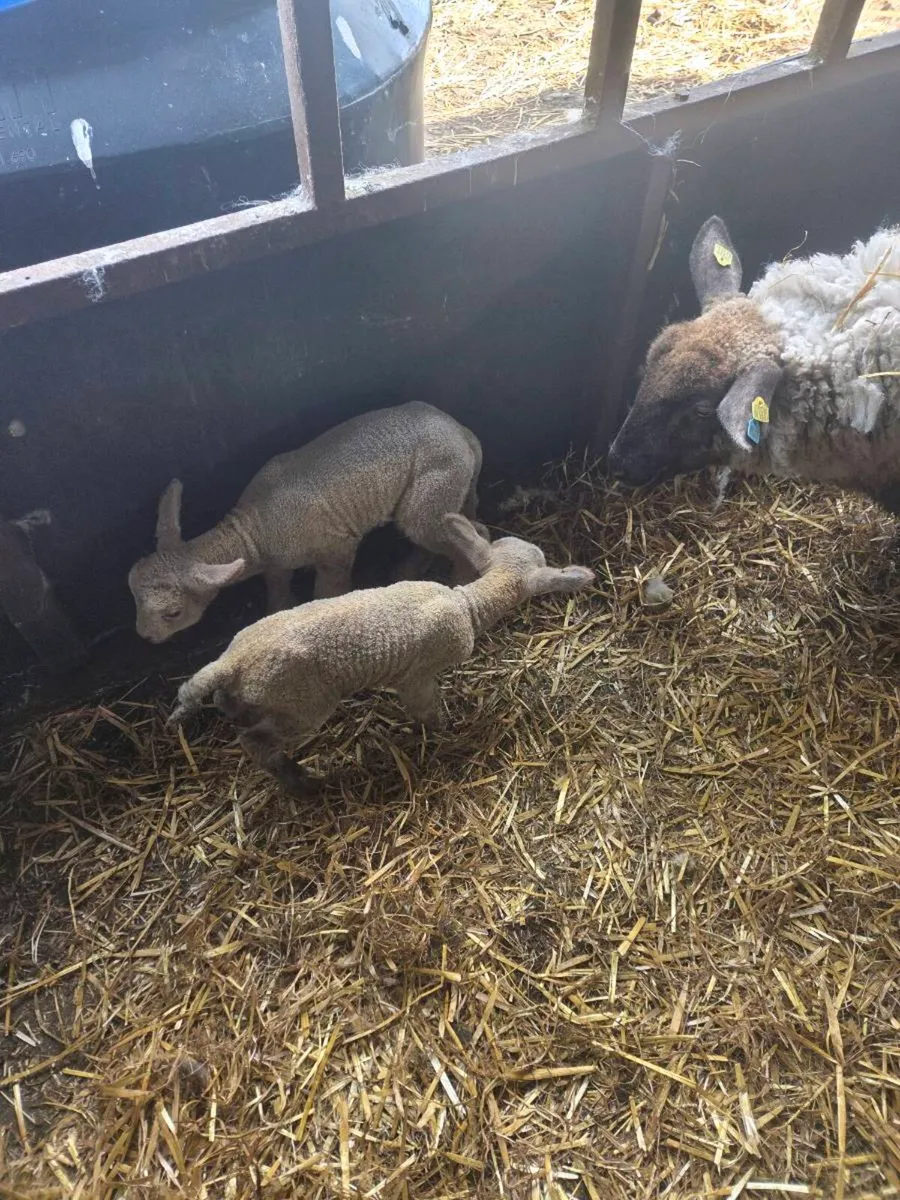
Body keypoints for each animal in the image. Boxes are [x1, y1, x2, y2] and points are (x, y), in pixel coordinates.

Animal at [129, 401, 487, 644]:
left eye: (173, 613)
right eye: (131, 589)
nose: (144, 636)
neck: (254, 529)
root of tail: (463, 432)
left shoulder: (336, 548)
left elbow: (328, 592)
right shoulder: (275, 563)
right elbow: (277, 595)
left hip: (435, 481)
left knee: (446, 531)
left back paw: (461, 581)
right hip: (455, 484)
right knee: (462, 524)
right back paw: (408, 571)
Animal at [167, 515, 594, 795]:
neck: (468, 604)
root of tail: (231, 663)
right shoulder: (417, 676)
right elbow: (426, 710)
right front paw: (444, 732)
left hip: (248, 694)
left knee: (236, 716)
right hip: (299, 705)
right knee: (256, 743)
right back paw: (301, 784)